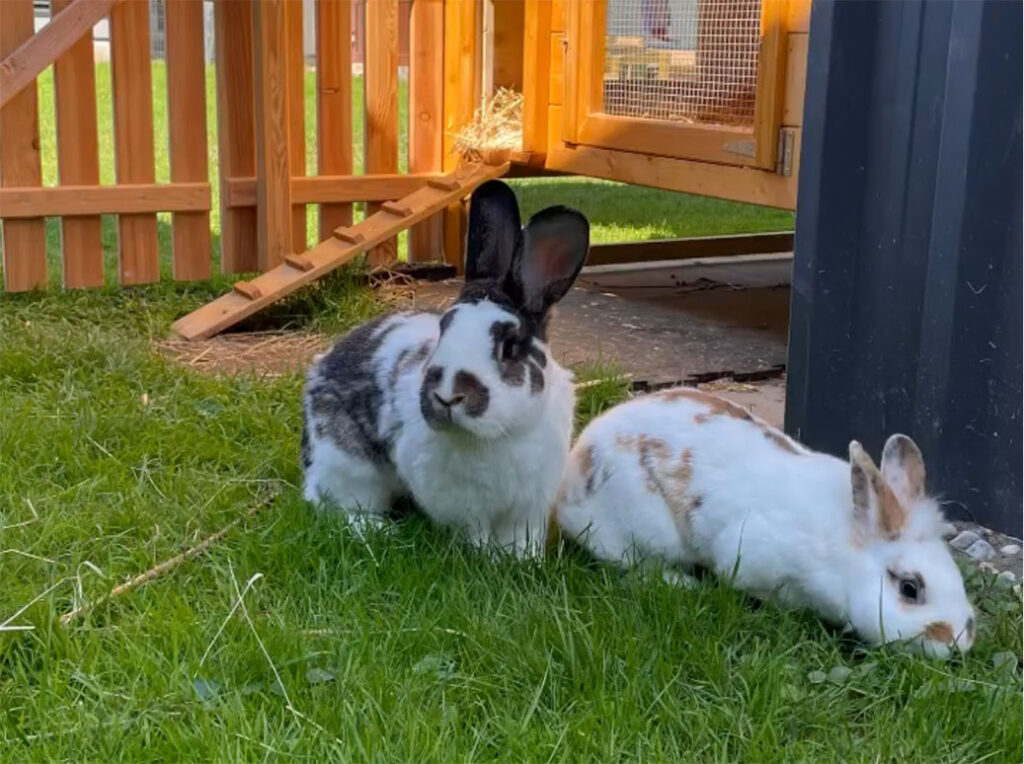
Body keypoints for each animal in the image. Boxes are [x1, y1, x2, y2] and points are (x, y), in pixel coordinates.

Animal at [302, 180, 590, 557]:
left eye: (510, 347)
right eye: (444, 328)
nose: (448, 396)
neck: (500, 435)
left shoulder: (530, 506)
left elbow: (521, 538)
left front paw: (521, 561)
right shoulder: (458, 503)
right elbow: (473, 533)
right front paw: (484, 558)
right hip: (349, 465)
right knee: (334, 503)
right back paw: (379, 529)